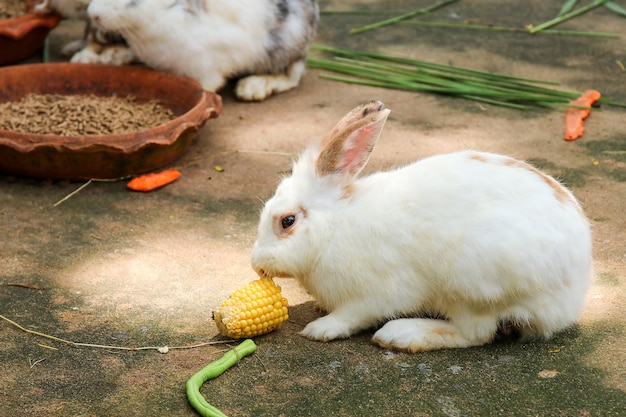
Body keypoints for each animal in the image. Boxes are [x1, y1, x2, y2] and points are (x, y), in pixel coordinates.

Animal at [86, 0, 316, 101]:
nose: (92, 13)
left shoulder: (205, 66)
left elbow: (206, 86)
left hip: (287, 45)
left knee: (293, 76)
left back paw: (252, 87)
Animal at [250, 101, 588, 352]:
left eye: (287, 221)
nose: (256, 264)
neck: (335, 227)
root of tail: (573, 291)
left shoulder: (376, 293)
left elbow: (353, 315)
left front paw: (320, 329)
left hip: (471, 284)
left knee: (474, 333)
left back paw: (402, 334)